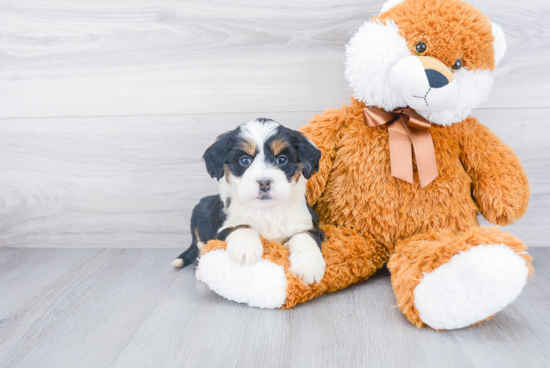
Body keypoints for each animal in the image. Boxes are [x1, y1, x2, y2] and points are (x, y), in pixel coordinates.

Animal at [174, 118, 328, 284]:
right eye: (245, 160)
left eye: (281, 160)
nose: (264, 182)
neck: (267, 210)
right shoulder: (221, 229)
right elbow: (242, 226)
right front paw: (245, 248)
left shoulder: (310, 225)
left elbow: (303, 235)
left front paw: (309, 264)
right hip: (200, 213)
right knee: (200, 250)